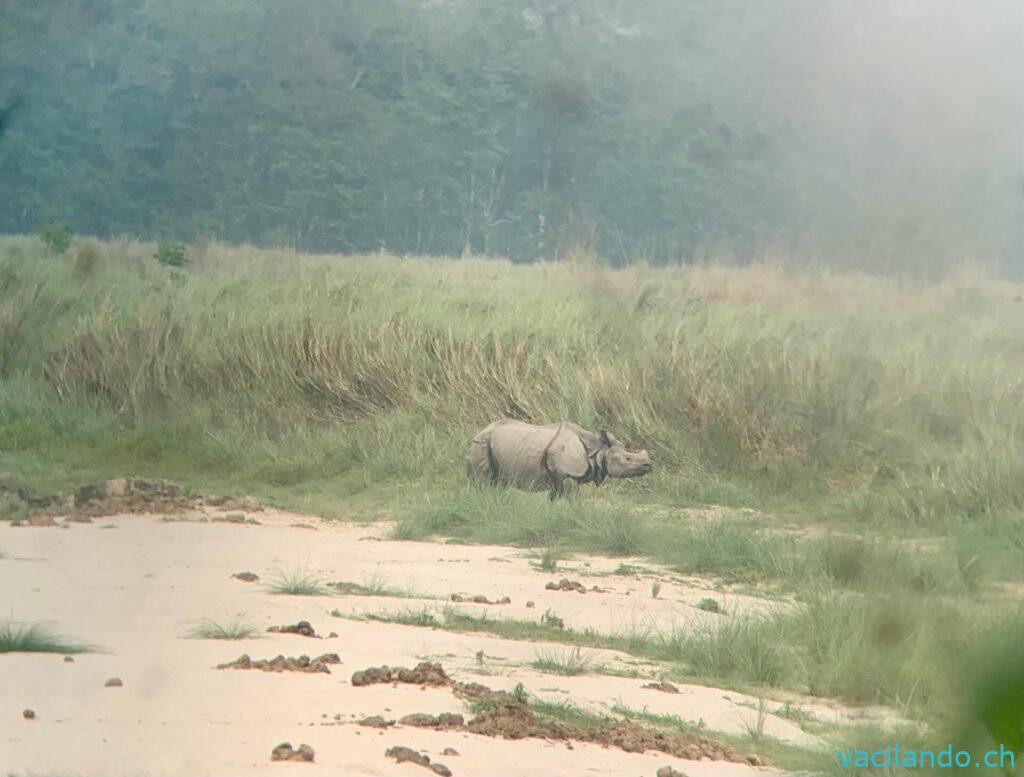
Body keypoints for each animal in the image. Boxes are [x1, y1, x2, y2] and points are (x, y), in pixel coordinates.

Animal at [468, 419, 651, 497]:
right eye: (628, 459)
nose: (649, 465)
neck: (598, 450)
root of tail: (481, 430)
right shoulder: (569, 473)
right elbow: (573, 498)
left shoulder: (558, 477)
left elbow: (553, 498)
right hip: (481, 444)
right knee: (484, 482)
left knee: (497, 482)